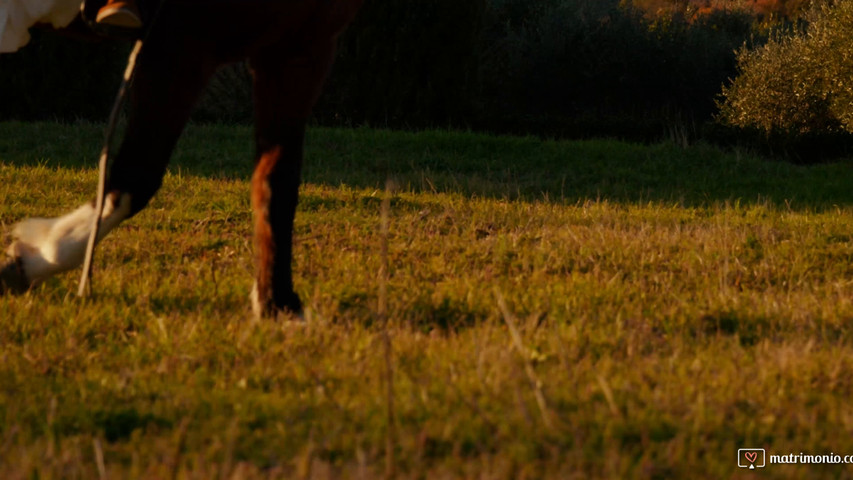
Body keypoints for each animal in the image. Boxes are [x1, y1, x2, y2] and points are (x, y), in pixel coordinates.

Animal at [0, 0, 362, 318]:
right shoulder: (179, 47)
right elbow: (137, 174)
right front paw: (37, 256)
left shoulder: (300, 49)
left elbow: (277, 183)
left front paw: (277, 303)